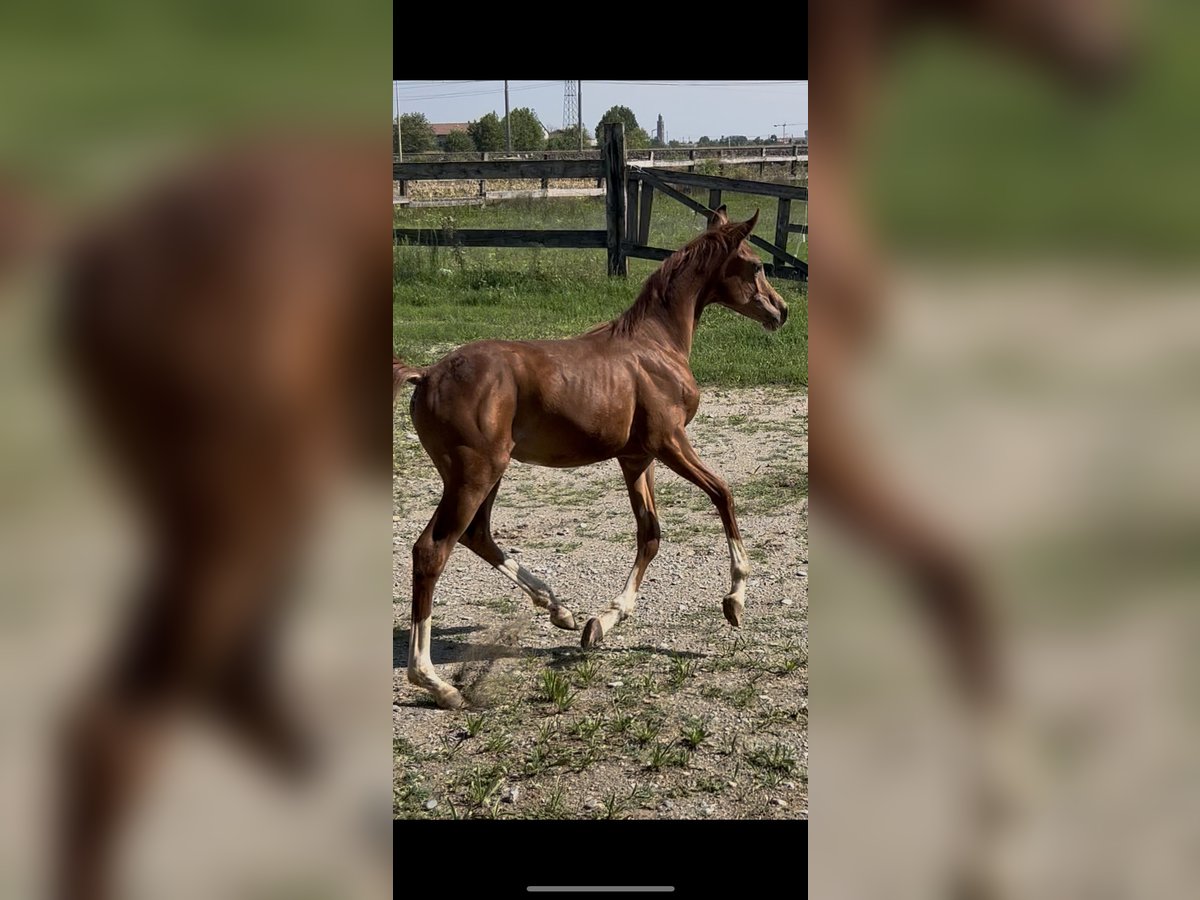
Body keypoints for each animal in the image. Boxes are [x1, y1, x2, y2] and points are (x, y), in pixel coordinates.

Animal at [393, 206, 789, 710]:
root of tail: (425, 375)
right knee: (432, 550)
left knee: (476, 535)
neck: (656, 345)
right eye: (755, 265)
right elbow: (723, 494)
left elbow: (650, 535)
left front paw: (601, 622)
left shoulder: (636, 458)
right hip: (474, 473)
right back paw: (435, 682)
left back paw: (557, 608)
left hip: (483, 473)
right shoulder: (669, 441)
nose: (781, 311)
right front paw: (734, 601)